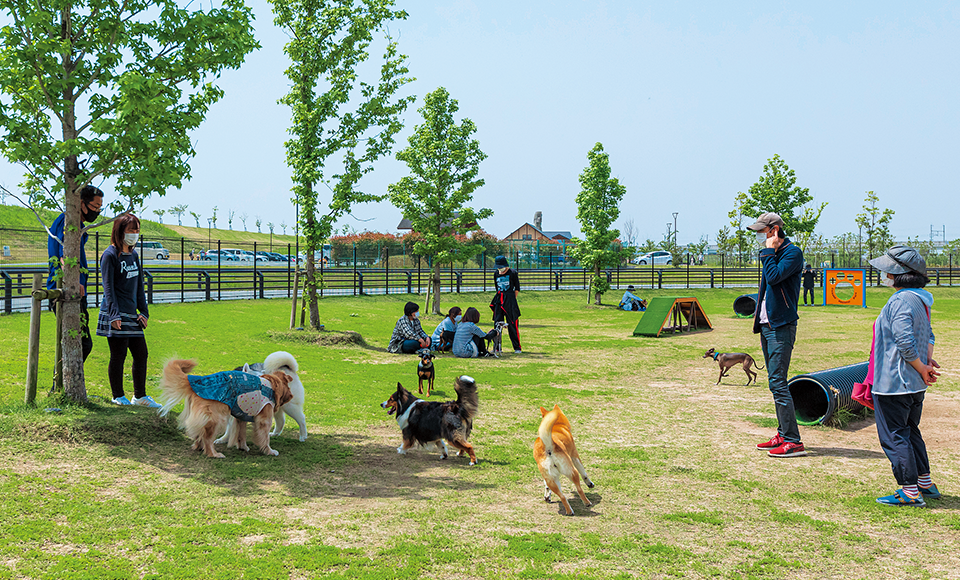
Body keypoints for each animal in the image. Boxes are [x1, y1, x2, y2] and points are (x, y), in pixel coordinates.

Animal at [158, 358, 294, 458]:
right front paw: (269, 451)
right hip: (217, 417)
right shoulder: (264, 420)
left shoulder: (241, 417)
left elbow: (241, 434)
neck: (271, 385)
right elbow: (265, 437)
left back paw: (199, 447)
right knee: (207, 437)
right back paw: (213, 454)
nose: (291, 395)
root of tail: (197, 380)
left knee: (199, 433)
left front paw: (243, 447)